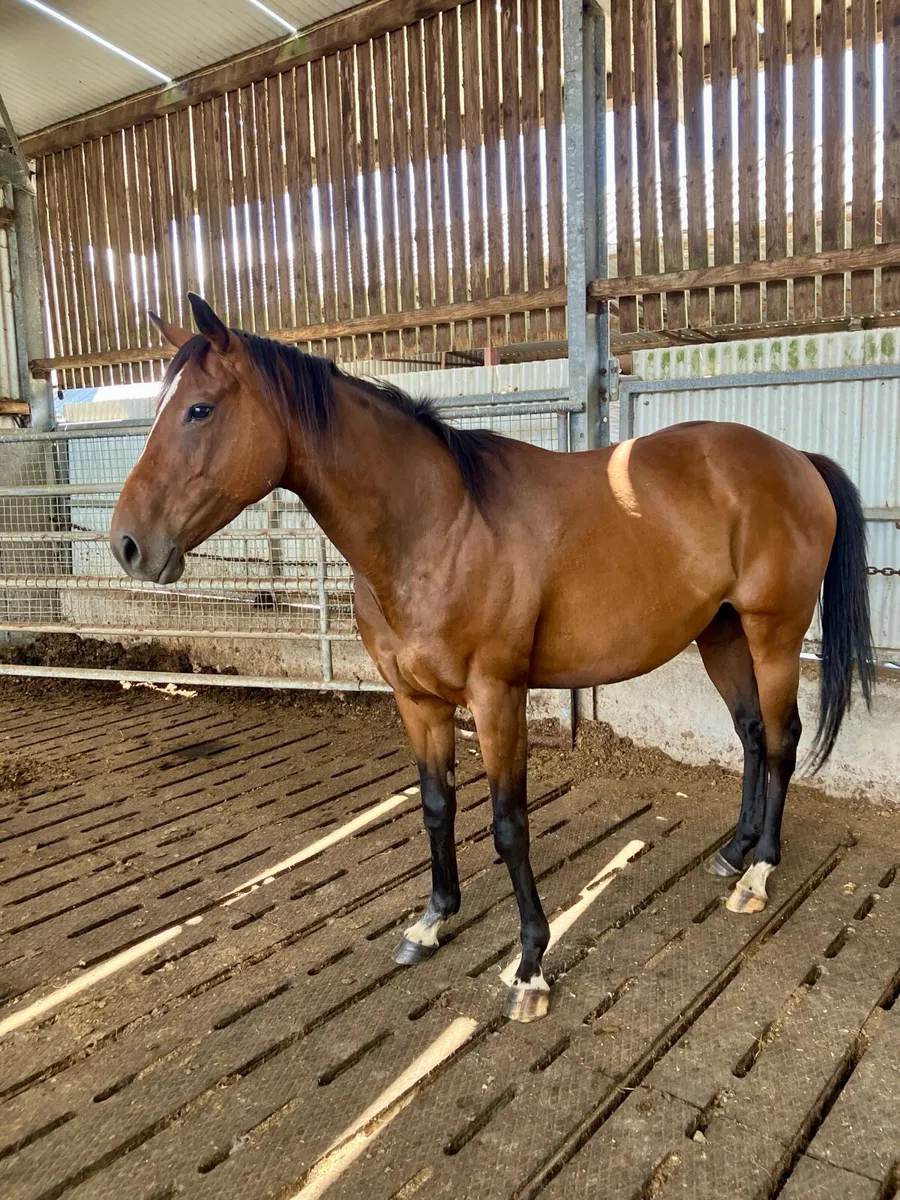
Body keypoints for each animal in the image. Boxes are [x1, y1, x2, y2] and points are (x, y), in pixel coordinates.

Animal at [110, 293, 874, 1023]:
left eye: (200, 409)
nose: (128, 545)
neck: (438, 525)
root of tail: (796, 460)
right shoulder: (417, 701)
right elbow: (435, 806)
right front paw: (432, 920)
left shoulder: (497, 697)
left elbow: (509, 827)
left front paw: (530, 965)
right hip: (720, 633)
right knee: (750, 734)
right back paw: (734, 852)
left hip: (773, 635)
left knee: (780, 740)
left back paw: (760, 872)